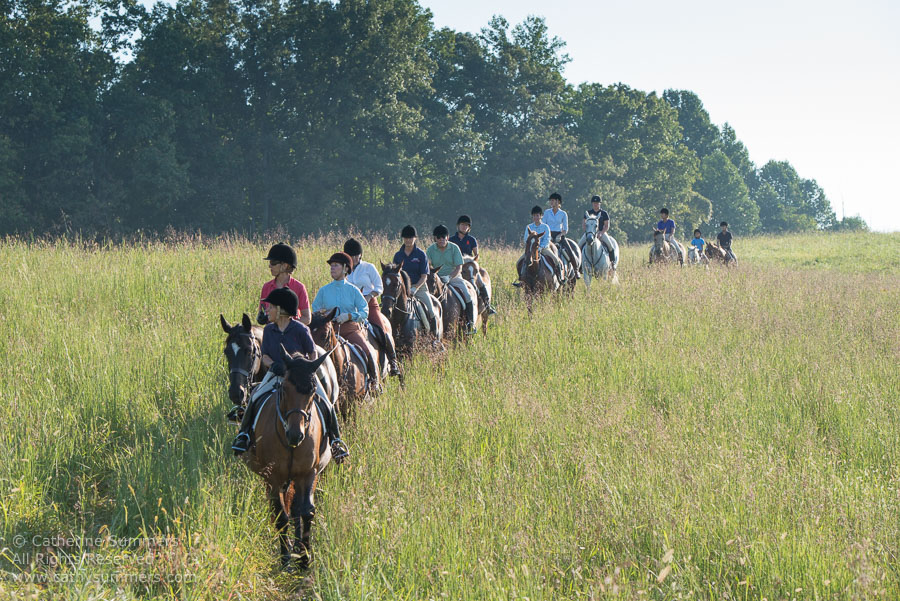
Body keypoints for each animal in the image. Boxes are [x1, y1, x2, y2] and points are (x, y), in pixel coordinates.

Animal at [243, 344, 338, 568]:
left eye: (312, 390)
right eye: (284, 388)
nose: (296, 434)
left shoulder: (308, 473)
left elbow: (306, 511)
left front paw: (304, 556)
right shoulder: (273, 477)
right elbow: (281, 516)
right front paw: (285, 557)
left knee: (294, 507)